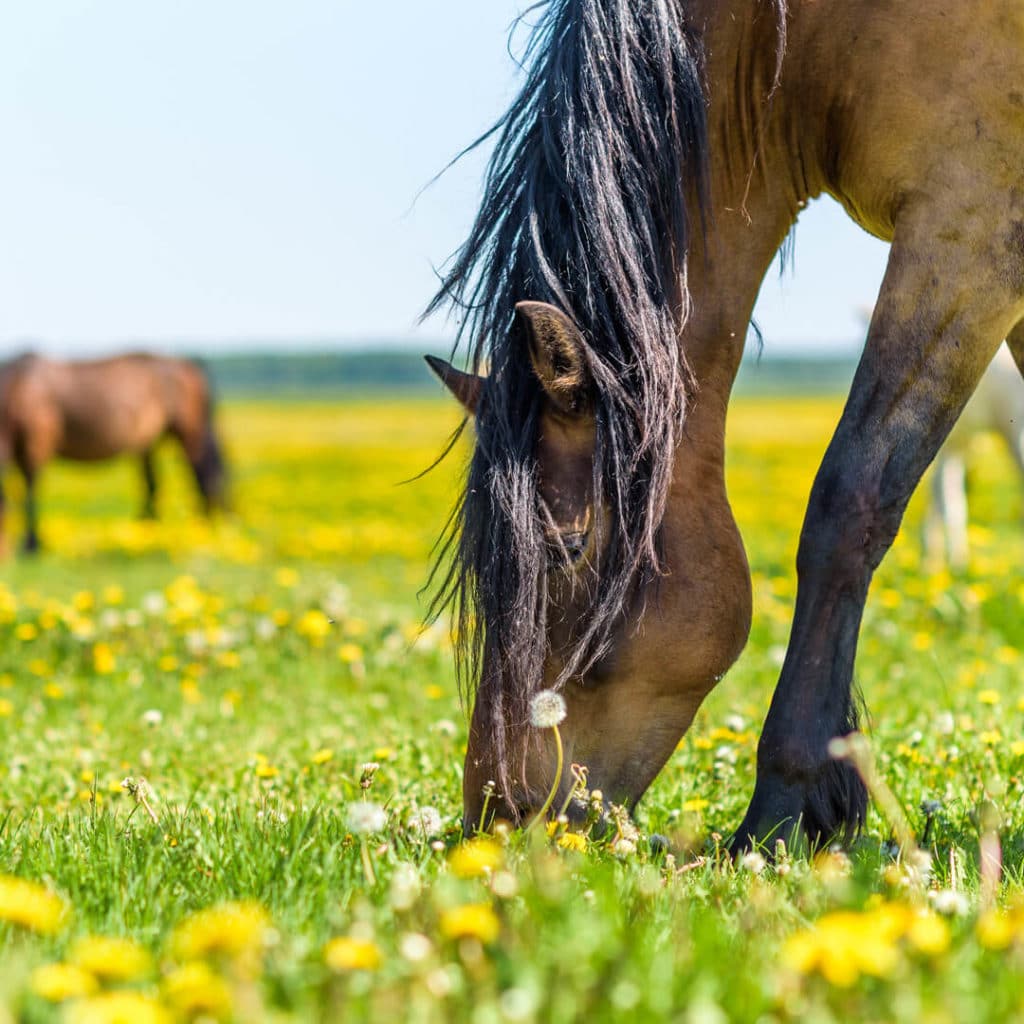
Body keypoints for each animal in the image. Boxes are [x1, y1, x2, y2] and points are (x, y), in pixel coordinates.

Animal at [0, 356, 226, 557]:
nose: (6, 554)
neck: (20, 387)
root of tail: (188, 365)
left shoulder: (37, 442)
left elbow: (30, 493)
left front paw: (32, 545)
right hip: (151, 441)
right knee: (154, 483)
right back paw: (144, 533)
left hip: (188, 432)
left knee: (201, 476)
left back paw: (199, 529)